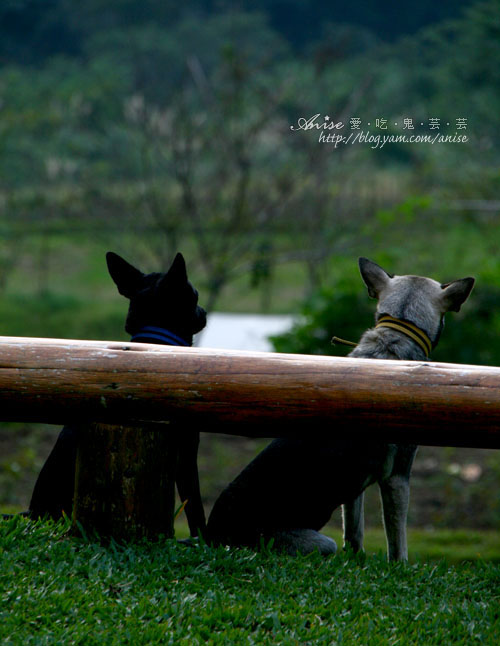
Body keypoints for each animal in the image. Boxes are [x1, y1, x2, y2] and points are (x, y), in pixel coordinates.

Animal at [205, 258, 474, 560]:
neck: (394, 335)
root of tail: (212, 535)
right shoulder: (397, 477)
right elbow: (397, 542)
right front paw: (399, 565)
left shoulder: (354, 487)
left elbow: (354, 529)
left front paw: (356, 558)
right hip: (317, 542)